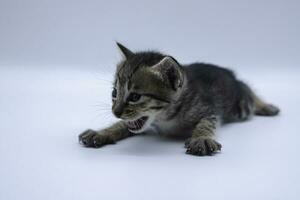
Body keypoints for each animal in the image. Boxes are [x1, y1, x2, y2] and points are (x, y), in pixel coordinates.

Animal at [78, 42, 280, 156]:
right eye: (114, 93)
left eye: (135, 96)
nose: (115, 112)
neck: (166, 118)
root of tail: (229, 73)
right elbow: (123, 125)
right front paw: (101, 132)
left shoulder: (209, 109)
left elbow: (207, 123)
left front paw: (201, 138)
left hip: (240, 105)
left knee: (248, 90)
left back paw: (267, 106)